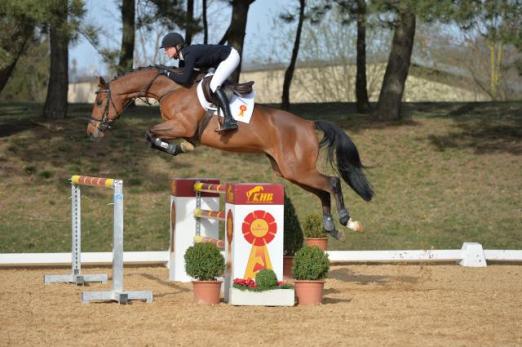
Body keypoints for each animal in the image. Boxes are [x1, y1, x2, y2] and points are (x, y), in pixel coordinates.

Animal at [86, 66, 370, 239]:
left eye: (99, 101)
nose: (91, 132)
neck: (170, 90)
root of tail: (309, 124)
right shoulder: (179, 128)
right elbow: (153, 135)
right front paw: (180, 147)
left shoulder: (181, 125)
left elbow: (149, 132)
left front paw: (174, 148)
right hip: (290, 171)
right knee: (323, 191)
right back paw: (332, 228)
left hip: (297, 168)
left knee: (332, 182)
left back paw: (347, 220)